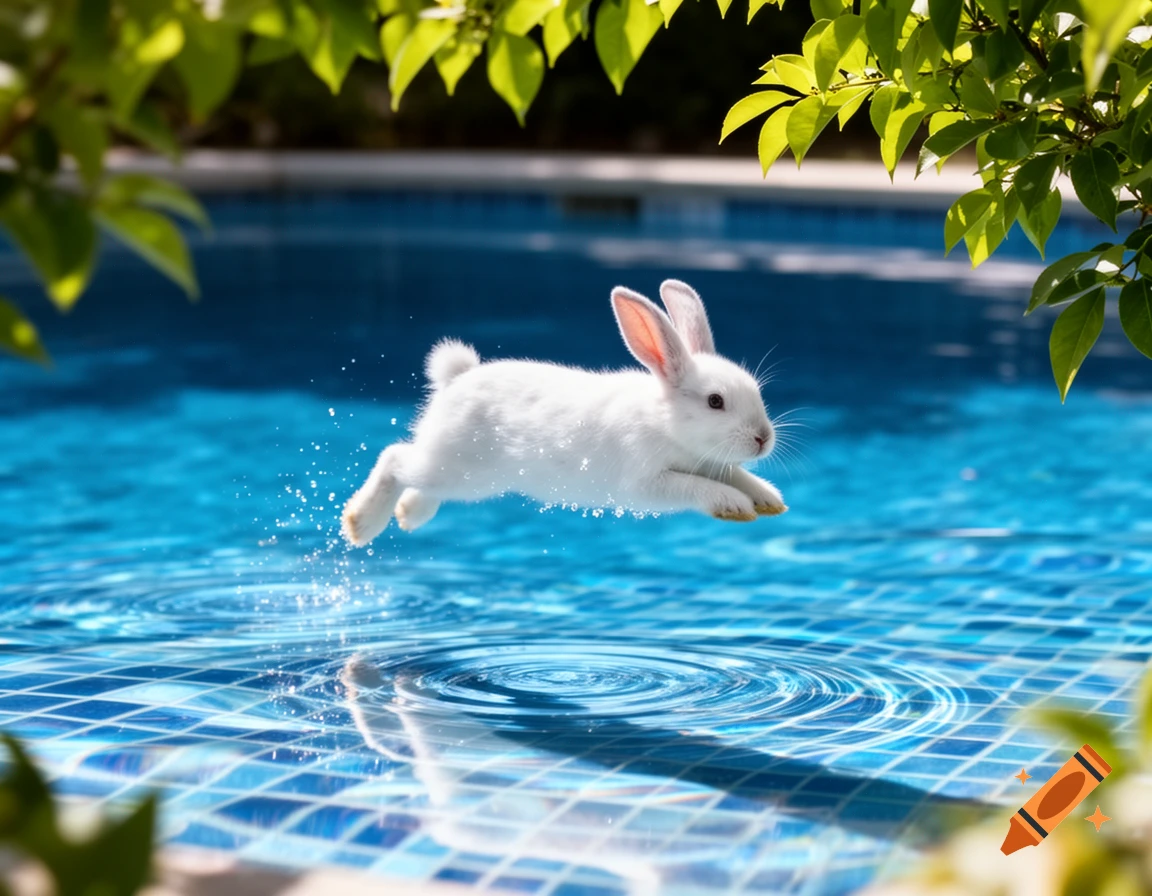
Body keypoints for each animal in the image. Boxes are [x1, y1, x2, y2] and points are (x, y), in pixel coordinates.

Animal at [341, 279, 787, 546]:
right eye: (715, 402)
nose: (763, 439)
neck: (666, 421)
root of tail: (456, 378)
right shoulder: (647, 483)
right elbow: (697, 488)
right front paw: (735, 506)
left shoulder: (712, 463)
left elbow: (740, 477)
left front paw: (769, 502)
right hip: (455, 467)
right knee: (395, 458)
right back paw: (361, 523)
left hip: (466, 479)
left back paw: (409, 515)